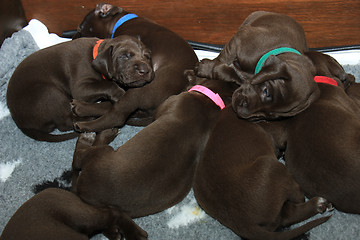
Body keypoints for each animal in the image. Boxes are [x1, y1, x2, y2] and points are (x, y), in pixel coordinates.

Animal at [6, 34, 153, 142]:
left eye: (147, 56)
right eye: (124, 56)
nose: (145, 70)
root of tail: (20, 122)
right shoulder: (80, 88)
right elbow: (107, 85)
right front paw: (119, 93)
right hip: (49, 93)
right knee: (65, 123)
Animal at [71, 2, 198, 131]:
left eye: (79, 28)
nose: (71, 40)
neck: (119, 20)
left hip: (141, 88)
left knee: (117, 114)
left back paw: (84, 121)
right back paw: (81, 107)